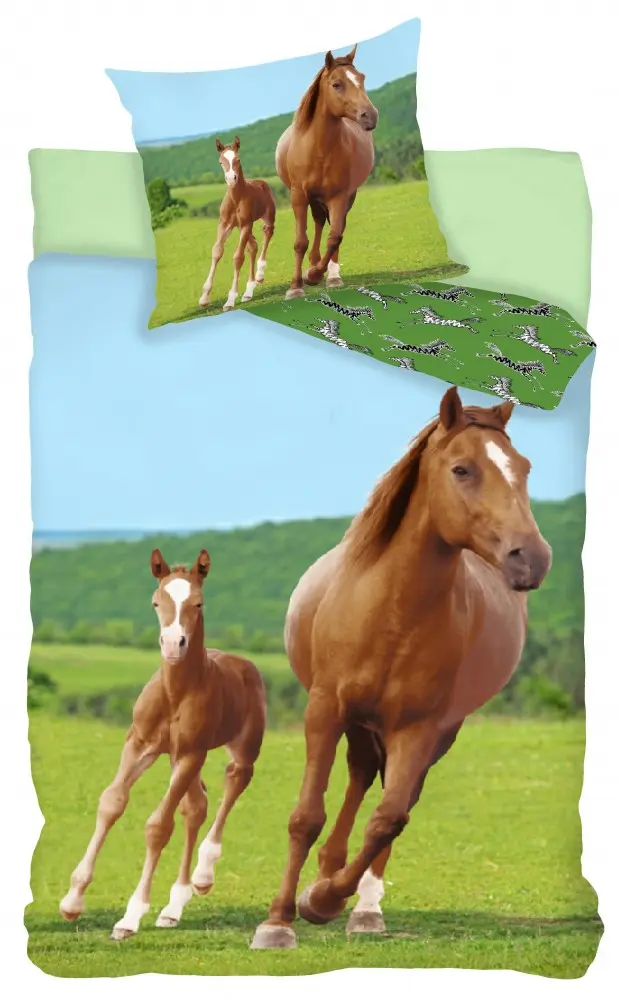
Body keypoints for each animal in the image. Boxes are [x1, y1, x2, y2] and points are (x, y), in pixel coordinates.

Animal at [60, 548, 266, 939]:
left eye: (198, 602)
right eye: (156, 602)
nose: (173, 644)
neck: (176, 694)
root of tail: (244, 664)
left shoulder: (190, 753)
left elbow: (158, 826)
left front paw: (130, 917)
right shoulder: (140, 744)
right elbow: (111, 803)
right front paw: (73, 900)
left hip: (238, 748)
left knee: (234, 781)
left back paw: (202, 875)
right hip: (174, 757)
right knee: (196, 806)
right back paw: (173, 907)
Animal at [199, 136, 276, 311]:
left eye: (238, 159)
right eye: (221, 161)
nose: (231, 179)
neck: (236, 199)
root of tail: (262, 182)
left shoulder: (246, 224)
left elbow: (238, 257)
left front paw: (230, 299)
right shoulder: (224, 224)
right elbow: (217, 251)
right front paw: (204, 297)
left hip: (265, 219)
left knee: (267, 234)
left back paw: (260, 275)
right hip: (242, 227)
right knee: (253, 246)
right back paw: (248, 291)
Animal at [251, 385, 552, 949]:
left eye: (523, 468)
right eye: (462, 469)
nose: (531, 558)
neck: (391, 611)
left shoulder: (419, 727)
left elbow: (388, 819)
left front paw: (325, 900)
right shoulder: (324, 710)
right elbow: (306, 815)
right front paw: (278, 920)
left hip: (430, 734)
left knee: (391, 796)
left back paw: (359, 905)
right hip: (357, 722)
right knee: (359, 776)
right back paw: (325, 873)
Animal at [275, 45, 378, 300]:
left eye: (361, 78)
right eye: (336, 84)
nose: (370, 116)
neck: (319, 149)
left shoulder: (339, 196)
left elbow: (335, 237)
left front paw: (315, 275)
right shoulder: (298, 196)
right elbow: (300, 241)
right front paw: (296, 285)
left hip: (344, 197)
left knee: (333, 228)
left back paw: (330, 275)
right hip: (313, 198)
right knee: (319, 222)